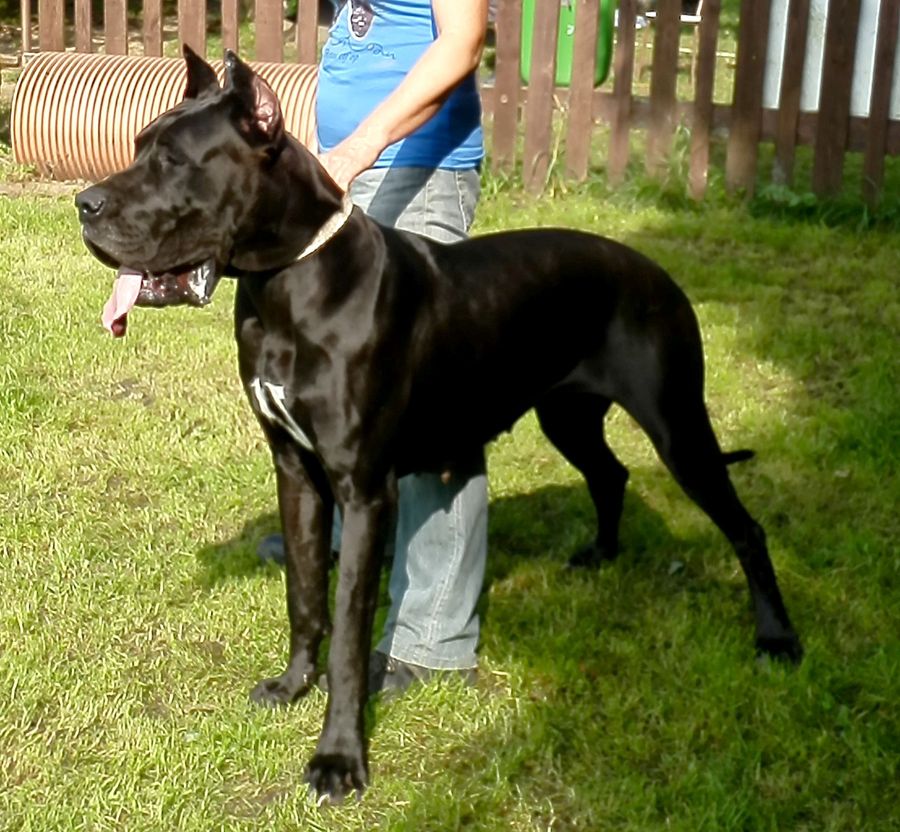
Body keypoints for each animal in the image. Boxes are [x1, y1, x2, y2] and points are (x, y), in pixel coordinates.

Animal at [76, 47, 801, 802]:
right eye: (138, 147)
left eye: (173, 161)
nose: (85, 205)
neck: (289, 284)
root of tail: (659, 272)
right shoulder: (296, 472)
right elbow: (304, 593)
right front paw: (292, 683)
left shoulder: (366, 491)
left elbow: (347, 630)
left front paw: (339, 758)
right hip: (567, 414)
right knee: (611, 471)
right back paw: (602, 553)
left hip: (678, 426)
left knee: (744, 528)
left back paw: (776, 638)